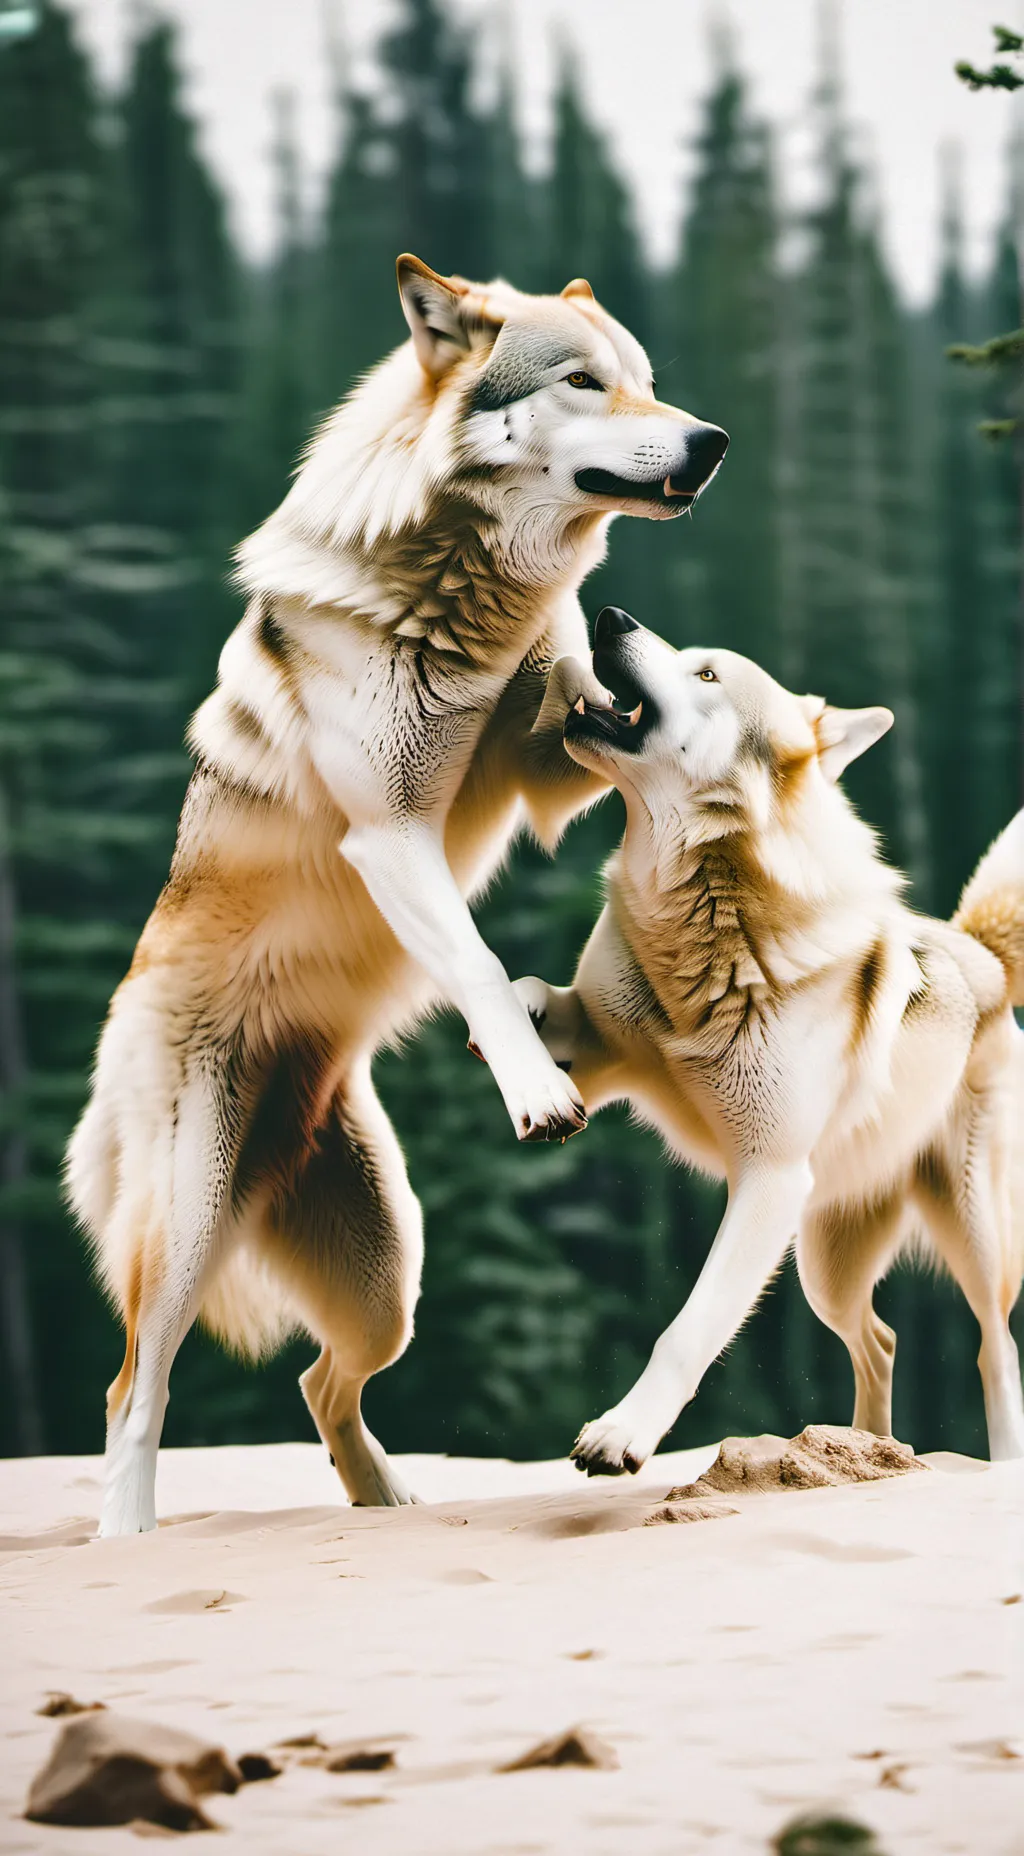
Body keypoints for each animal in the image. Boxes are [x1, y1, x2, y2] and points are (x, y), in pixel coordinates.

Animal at [66, 259, 729, 1534]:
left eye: (645, 381)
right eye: (584, 382)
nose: (712, 439)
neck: (460, 590)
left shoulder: (544, 758)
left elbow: (587, 702)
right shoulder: (390, 836)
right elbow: (473, 962)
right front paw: (535, 1090)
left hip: (390, 1277)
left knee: (323, 1382)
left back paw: (387, 1503)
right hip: (189, 1227)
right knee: (133, 1385)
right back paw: (126, 1537)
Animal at [514, 605, 1024, 1469]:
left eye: (707, 673)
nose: (610, 616)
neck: (707, 922)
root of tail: (976, 947)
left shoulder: (769, 1179)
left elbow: (687, 1331)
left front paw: (621, 1434)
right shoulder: (604, 1047)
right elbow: (526, 991)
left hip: (969, 1238)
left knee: (996, 1347)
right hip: (824, 1266)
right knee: (881, 1340)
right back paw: (865, 1450)